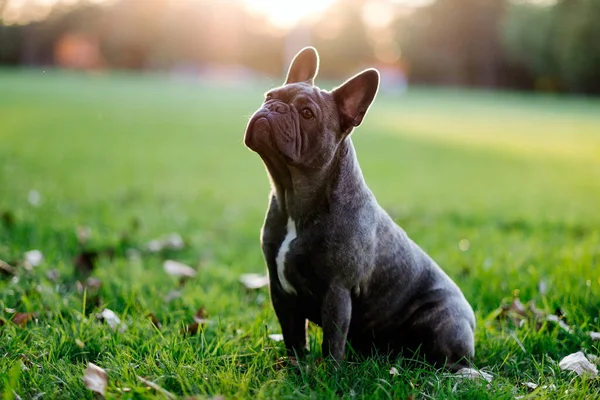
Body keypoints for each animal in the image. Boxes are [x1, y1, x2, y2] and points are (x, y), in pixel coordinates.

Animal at [243, 47, 474, 372]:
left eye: (307, 113)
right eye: (269, 96)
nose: (274, 107)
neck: (294, 198)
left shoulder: (337, 292)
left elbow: (332, 340)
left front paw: (329, 374)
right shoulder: (280, 290)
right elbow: (293, 335)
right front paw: (295, 366)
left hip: (444, 322)